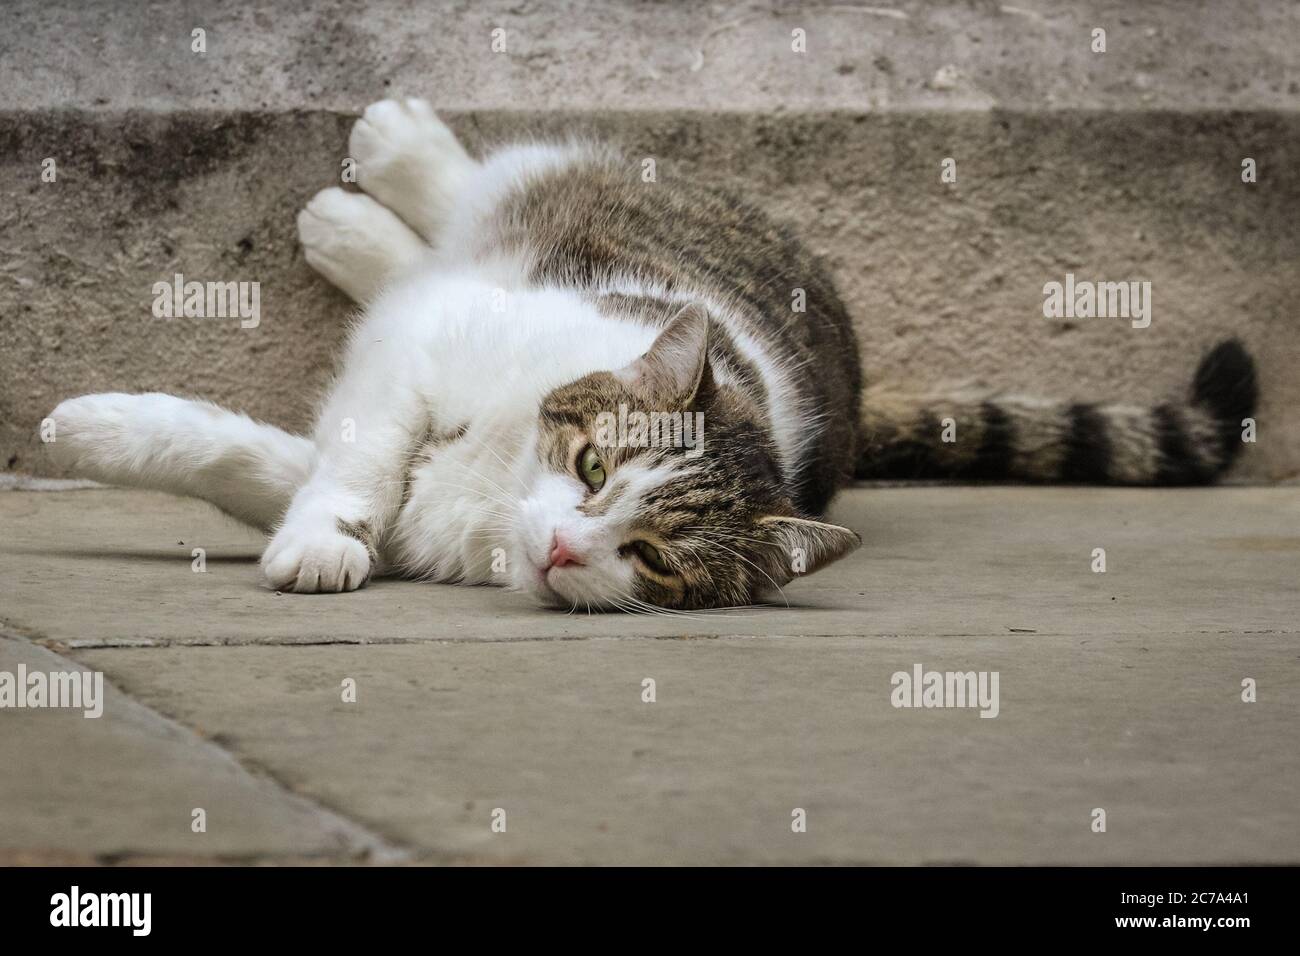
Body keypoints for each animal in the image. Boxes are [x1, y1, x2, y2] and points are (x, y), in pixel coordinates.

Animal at [45, 100, 1253, 608]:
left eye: (656, 560)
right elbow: (351, 457)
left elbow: (258, 461)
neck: (490, 488)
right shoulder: (420, 359)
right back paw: (390, 161)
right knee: (475, 193)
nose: (566, 548)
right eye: (591, 465)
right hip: (556, 198)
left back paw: (355, 226)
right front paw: (319, 539)